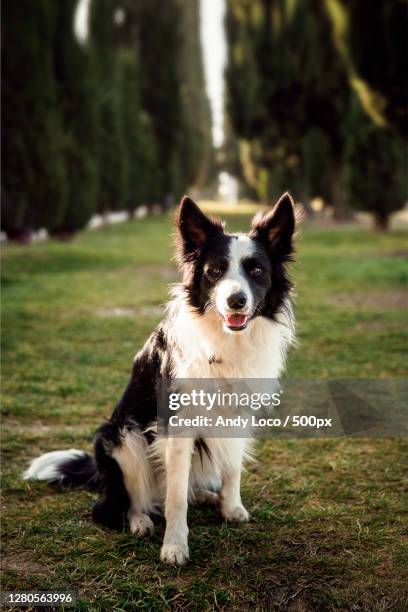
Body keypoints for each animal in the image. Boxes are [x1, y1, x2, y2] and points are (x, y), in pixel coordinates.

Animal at [23, 194, 296, 568]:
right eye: (215, 271)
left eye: (256, 270)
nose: (236, 300)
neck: (225, 341)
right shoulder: (175, 426)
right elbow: (175, 498)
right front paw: (175, 547)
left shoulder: (238, 415)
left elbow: (232, 467)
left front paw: (231, 507)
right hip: (122, 438)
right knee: (118, 506)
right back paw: (140, 521)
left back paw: (205, 496)